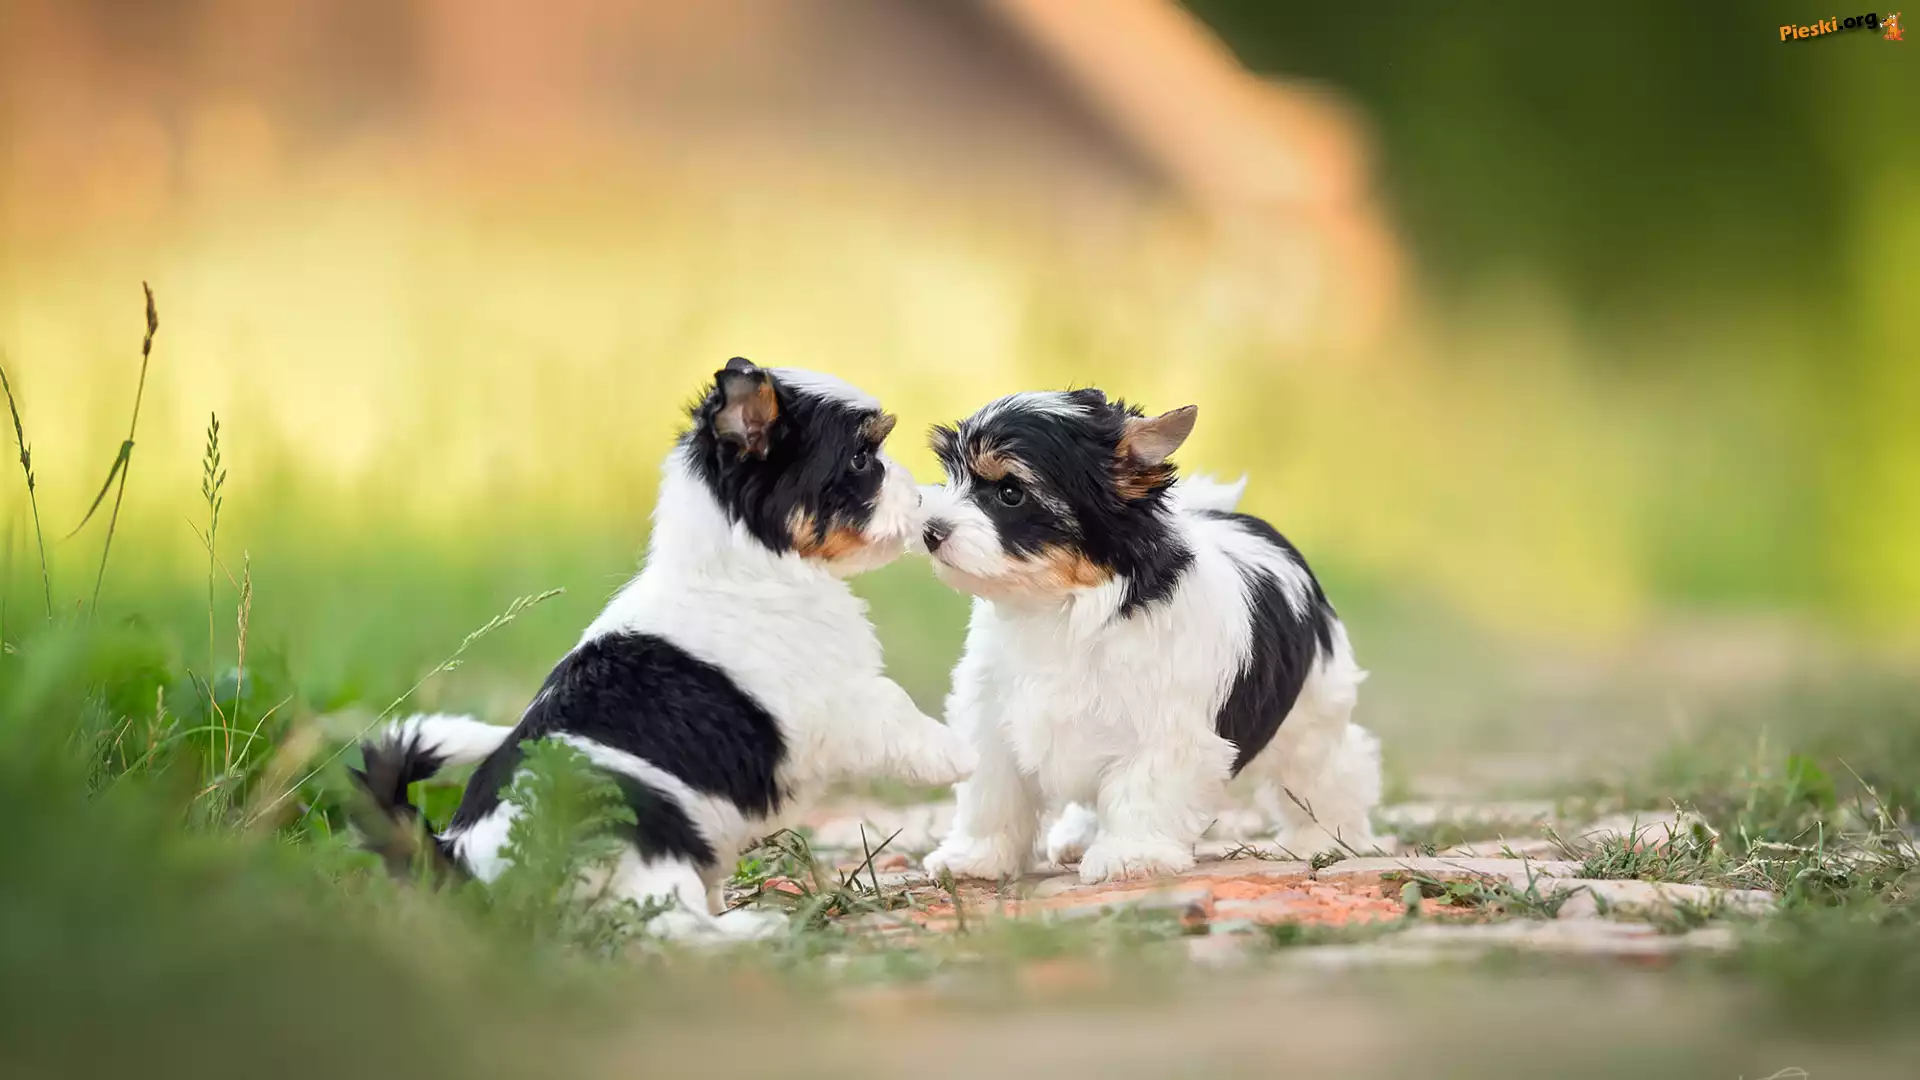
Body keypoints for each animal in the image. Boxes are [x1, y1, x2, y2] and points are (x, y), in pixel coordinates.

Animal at [354, 358, 976, 938]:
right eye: (861, 460)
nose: (922, 499)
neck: (746, 563)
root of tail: (458, 863)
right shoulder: (839, 699)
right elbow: (900, 714)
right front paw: (961, 754)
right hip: (645, 833)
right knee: (669, 929)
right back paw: (752, 932)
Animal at [917, 389, 1381, 885]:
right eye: (951, 476)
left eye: (1009, 492)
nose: (929, 531)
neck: (1064, 604)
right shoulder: (992, 714)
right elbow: (993, 792)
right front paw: (977, 856)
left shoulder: (1164, 724)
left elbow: (1143, 785)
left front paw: (1129, 855)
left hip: (1312, 708)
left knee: (1325, 768)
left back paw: (1327, 837)